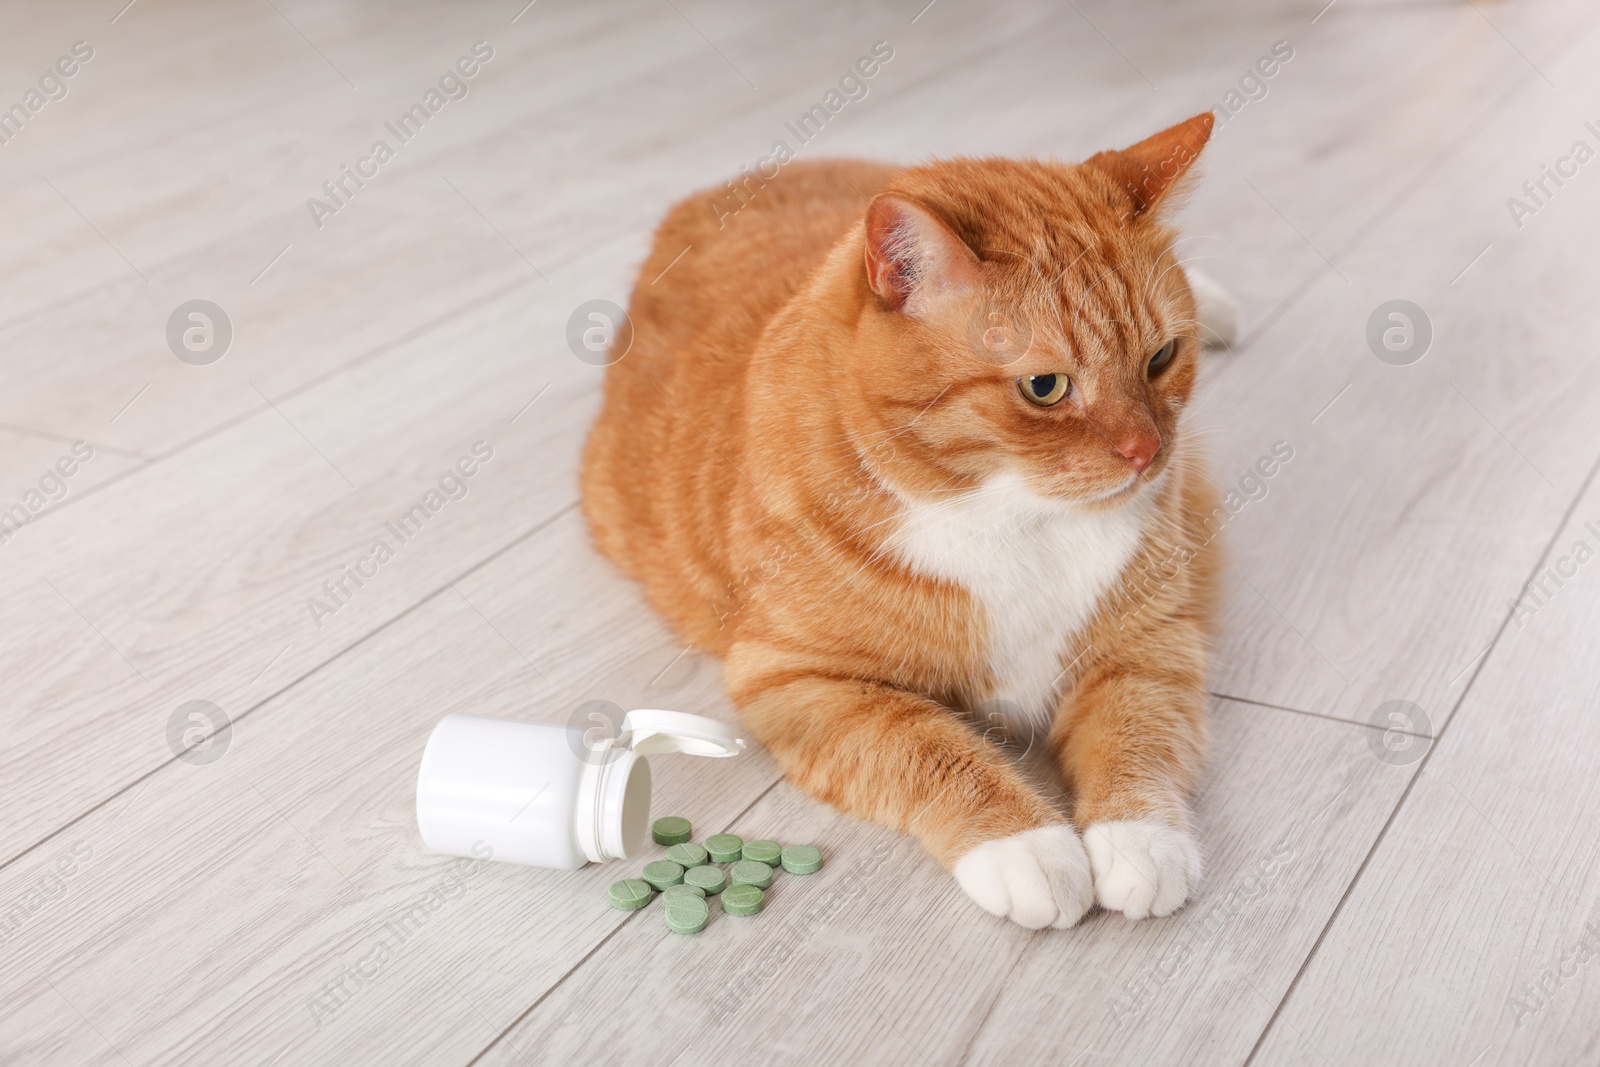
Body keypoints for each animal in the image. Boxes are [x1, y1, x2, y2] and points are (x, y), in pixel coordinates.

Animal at [588, 115, 1222, 927]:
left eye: (1162, 356)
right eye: (1045, 387)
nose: (1148, 453)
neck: (1017, 518)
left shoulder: (1153, 641)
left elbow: (1140, 734)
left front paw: (1142, 843)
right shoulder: (799, 678)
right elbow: (927, 748)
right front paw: (1028, 848)